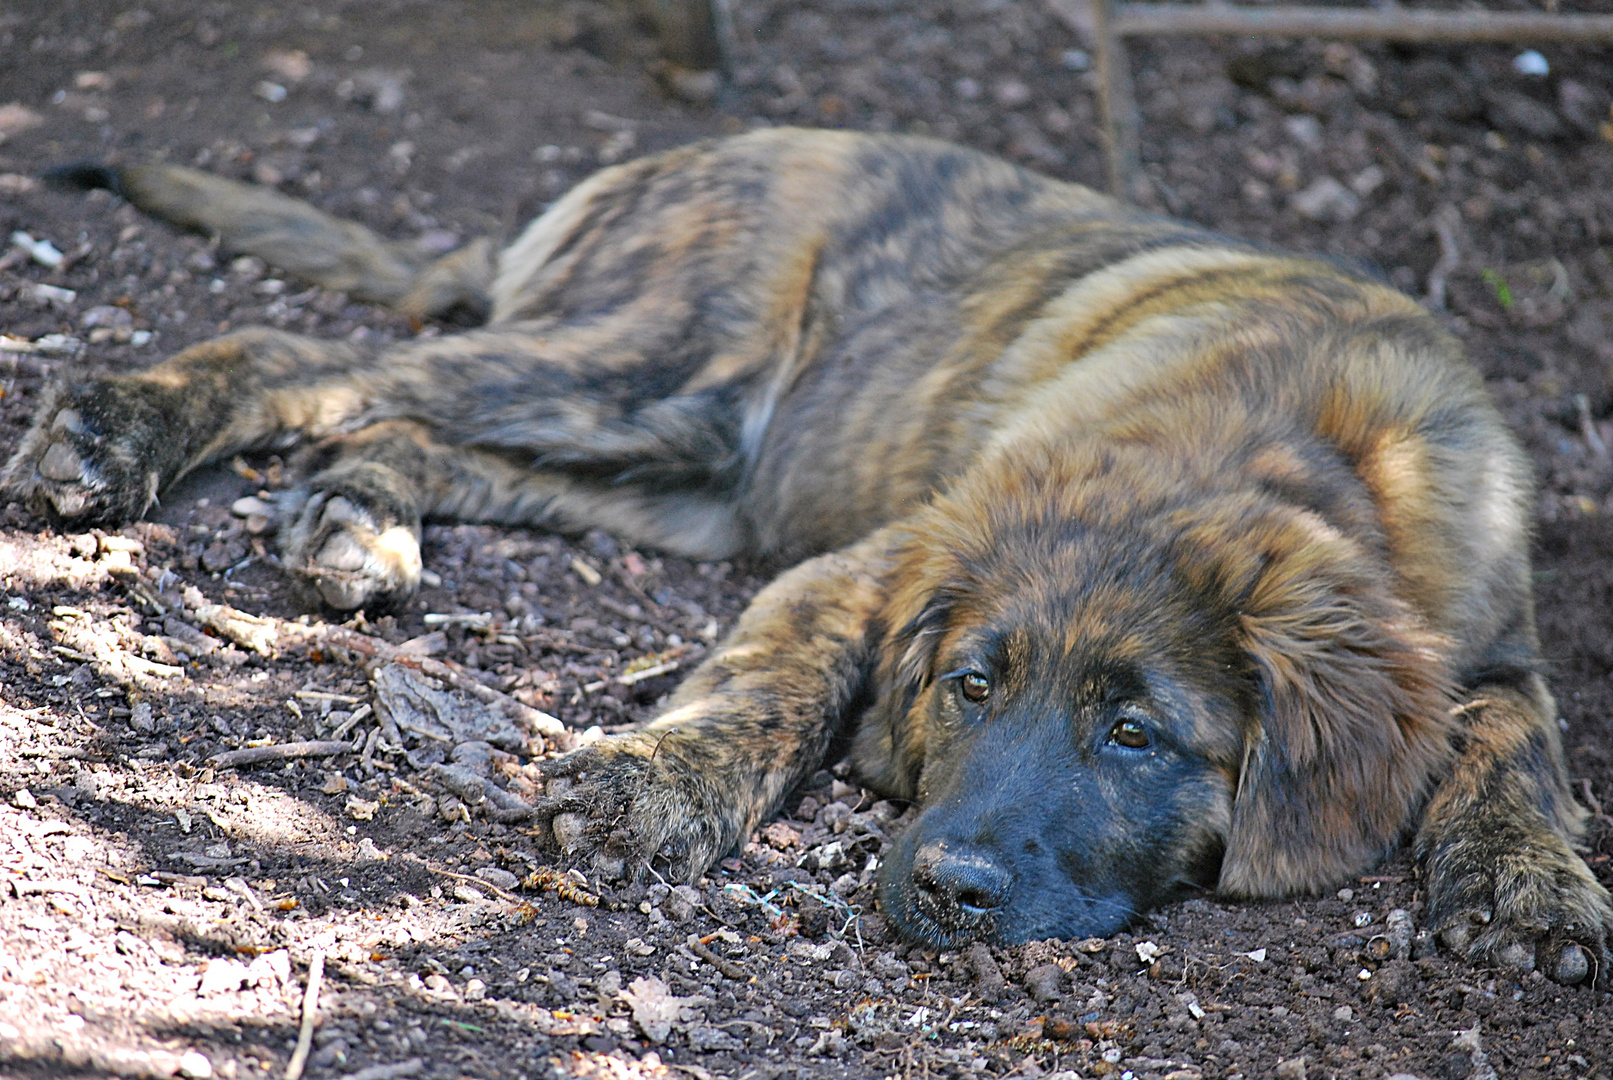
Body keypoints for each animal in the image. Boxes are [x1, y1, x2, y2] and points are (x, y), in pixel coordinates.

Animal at [6, 131, 1606, 986]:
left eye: (1137, 736)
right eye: (970, 688)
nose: (948, 889)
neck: (1300, 451)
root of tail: (659, 159)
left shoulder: (1497, 641)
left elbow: (1519, 746)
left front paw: (1528, 885)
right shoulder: (872, 562)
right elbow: (767, 684)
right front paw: (650, 784)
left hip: (686, 473)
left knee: (404, 424)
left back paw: (358, 520)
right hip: (655, 367)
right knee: (311, 360)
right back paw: (110, 429)